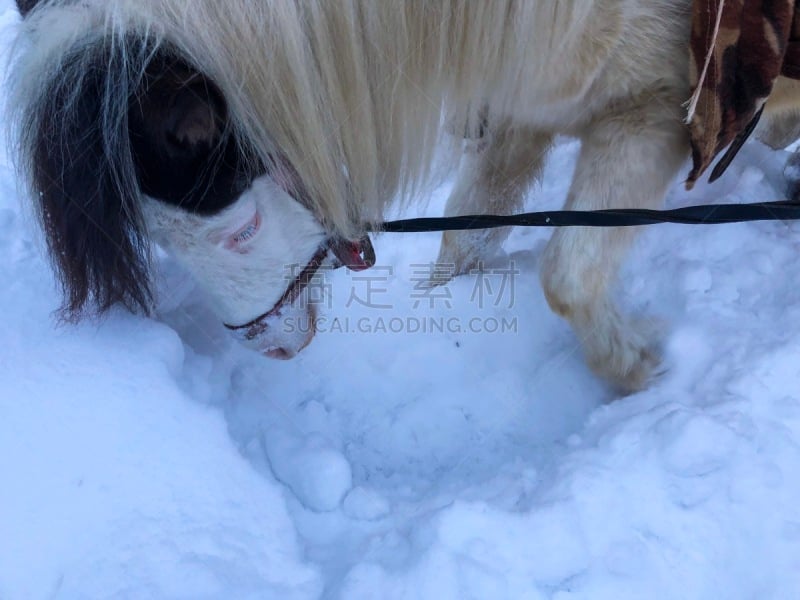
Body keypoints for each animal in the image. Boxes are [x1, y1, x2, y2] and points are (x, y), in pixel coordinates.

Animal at [14, 0, 700, 394]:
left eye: (241, 230)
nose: (272, 348)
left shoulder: (651, 113)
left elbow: (566, 275)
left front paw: (632, 366)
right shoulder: (520, 118)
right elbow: (464, 236)